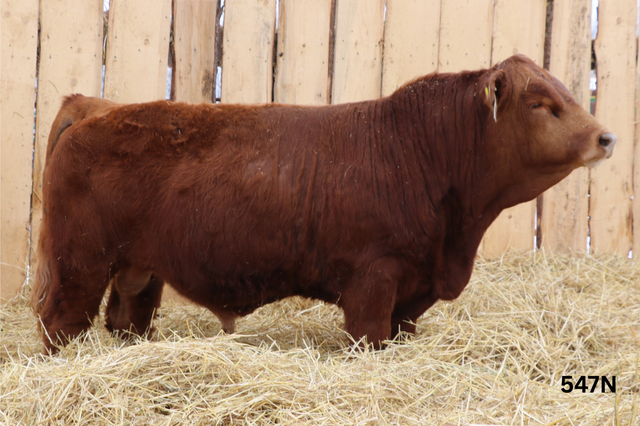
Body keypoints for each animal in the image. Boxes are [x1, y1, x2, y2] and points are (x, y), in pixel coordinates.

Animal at [31, 55, 615, 353]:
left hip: (138, 272)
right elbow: (369, 339)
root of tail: (95, 106)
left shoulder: (411, 294)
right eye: (540, 103)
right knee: (59, 324)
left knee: (125, 320)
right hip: (79, 266)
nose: (606, 137)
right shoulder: (374, 282)